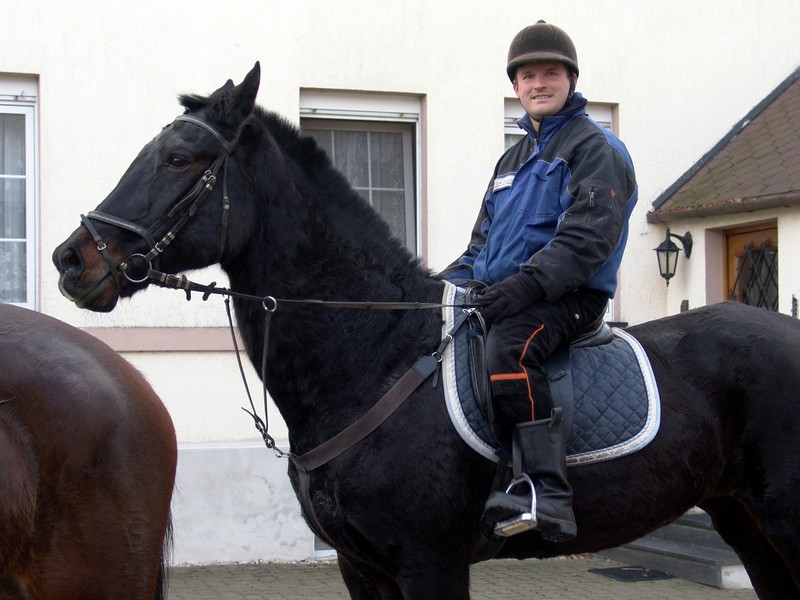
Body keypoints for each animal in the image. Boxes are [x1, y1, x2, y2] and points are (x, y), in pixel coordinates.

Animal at [52, 62, 800, 599]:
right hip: (744, 520)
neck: (373, 358)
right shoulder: (361, 567)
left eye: (179, 158)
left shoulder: (428, 562)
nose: (71, 259)